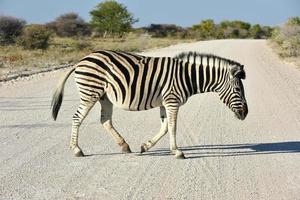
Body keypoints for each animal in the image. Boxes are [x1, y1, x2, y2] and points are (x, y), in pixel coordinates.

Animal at [51, 50, 248, 159]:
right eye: (238, 90)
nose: (245, 113)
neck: (188, 77)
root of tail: (82, 59)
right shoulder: (172, 101)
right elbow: (172, 126)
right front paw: (177, 152)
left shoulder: (165, 103)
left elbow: (165, 127)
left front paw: (145, 147)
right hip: (90, 93)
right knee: (77, 117)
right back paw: (77, 150)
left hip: (104, 97)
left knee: (105, 120)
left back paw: (124, 146)